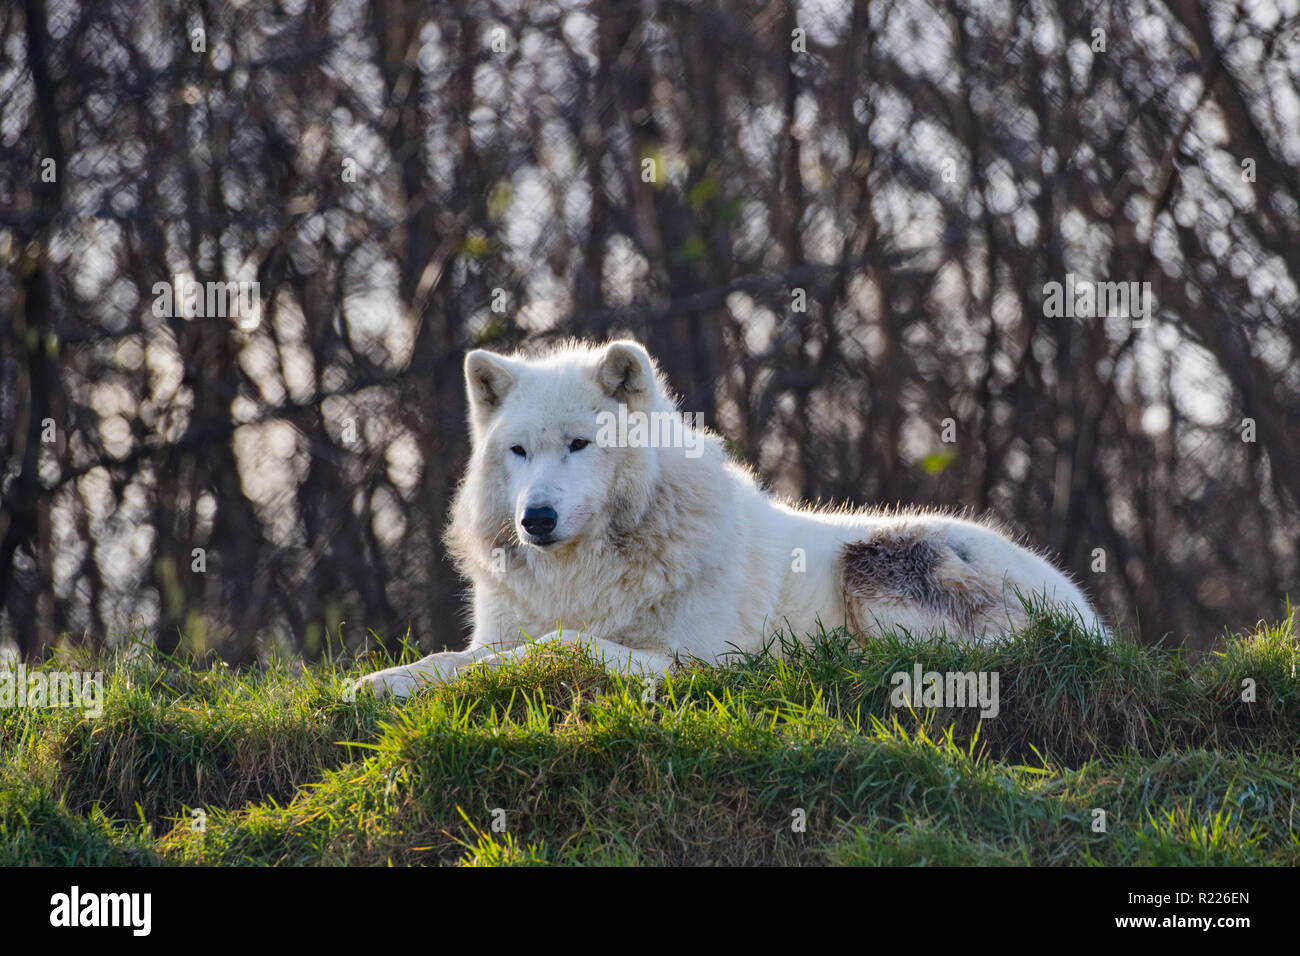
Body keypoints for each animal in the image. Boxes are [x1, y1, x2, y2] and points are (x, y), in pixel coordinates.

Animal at [357, 340, 1102, 697]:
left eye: (579, 444)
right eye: (518, 452)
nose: (536, 518)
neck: (580, 577)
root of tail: (1094, 623)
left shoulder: (697, 662)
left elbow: (560, 645)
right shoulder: (499, 632)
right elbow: (452, 658)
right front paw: (376, 686)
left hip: (878, 559)